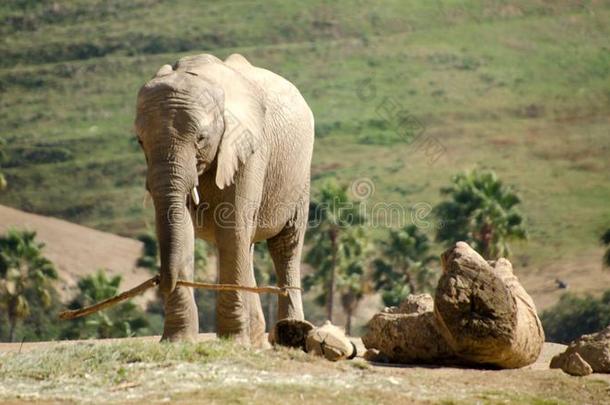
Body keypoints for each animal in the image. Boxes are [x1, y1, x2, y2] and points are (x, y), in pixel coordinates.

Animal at [134, 53, 314, 344]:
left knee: (285, 244)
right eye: (140, 141)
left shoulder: (247, 147)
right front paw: (177, 341)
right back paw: (256, 339)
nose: (159, 281)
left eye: (200, 138)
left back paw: (288, 333)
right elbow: (183, 229)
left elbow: (232, 226)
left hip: (299, 176)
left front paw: (233, 341)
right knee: (248, 245)